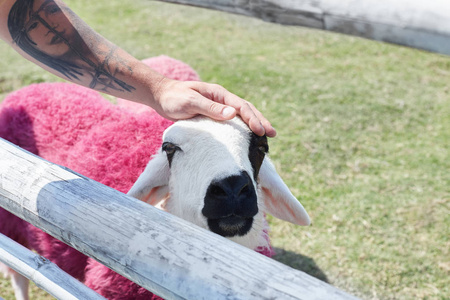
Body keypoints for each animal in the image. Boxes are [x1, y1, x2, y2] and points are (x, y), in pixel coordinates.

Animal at [0, 55, 310, 298]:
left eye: (261, 147)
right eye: (170, 148)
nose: (232, 189)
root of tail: (32, 89)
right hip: (11, 224)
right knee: (19, 272)